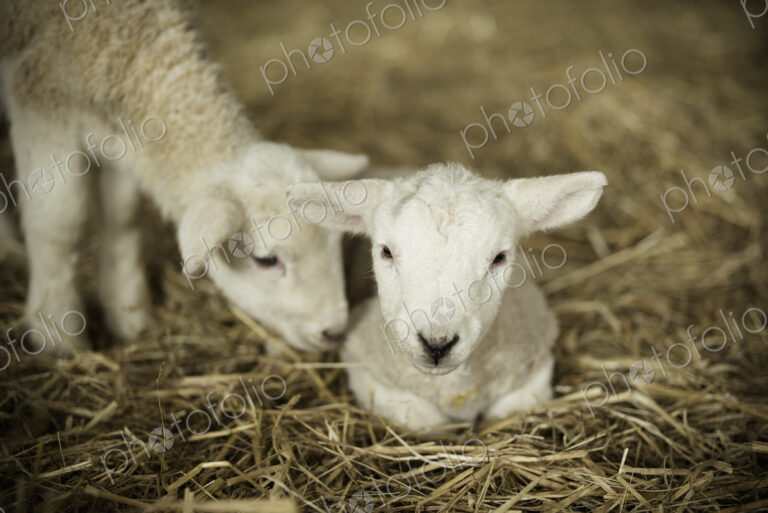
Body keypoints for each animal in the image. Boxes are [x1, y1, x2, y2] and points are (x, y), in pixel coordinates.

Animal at [0, 0, 368, 355]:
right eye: (266, 261)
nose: (334, 332)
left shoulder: (120, 134)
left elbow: (123, 217)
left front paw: (130, 317)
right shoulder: (41, 101)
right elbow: (61, 224)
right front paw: (56, 335)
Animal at [288, 163, 607, 429]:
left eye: (499, 258)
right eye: (386, 251)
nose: (437, 345)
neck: (454, 388)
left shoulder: (534, 369)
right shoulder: (368, 373)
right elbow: (427, 421)